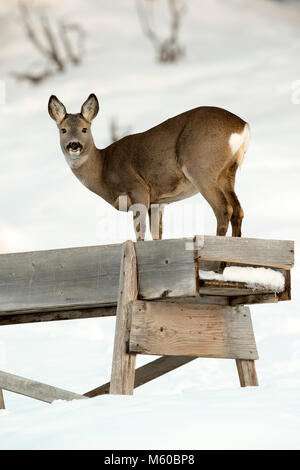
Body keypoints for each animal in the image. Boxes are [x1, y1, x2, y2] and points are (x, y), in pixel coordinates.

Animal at [49, 95, 250, 242]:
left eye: (84, 129)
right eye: (63, 130)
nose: (74, 145)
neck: (103, 170)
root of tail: (243, 126)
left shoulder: (138, 189)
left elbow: (140, 233)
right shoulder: (158, 201)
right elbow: (157, 234)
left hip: (200, 166)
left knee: (224, 209)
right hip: (228, 172)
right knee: (238, 210)